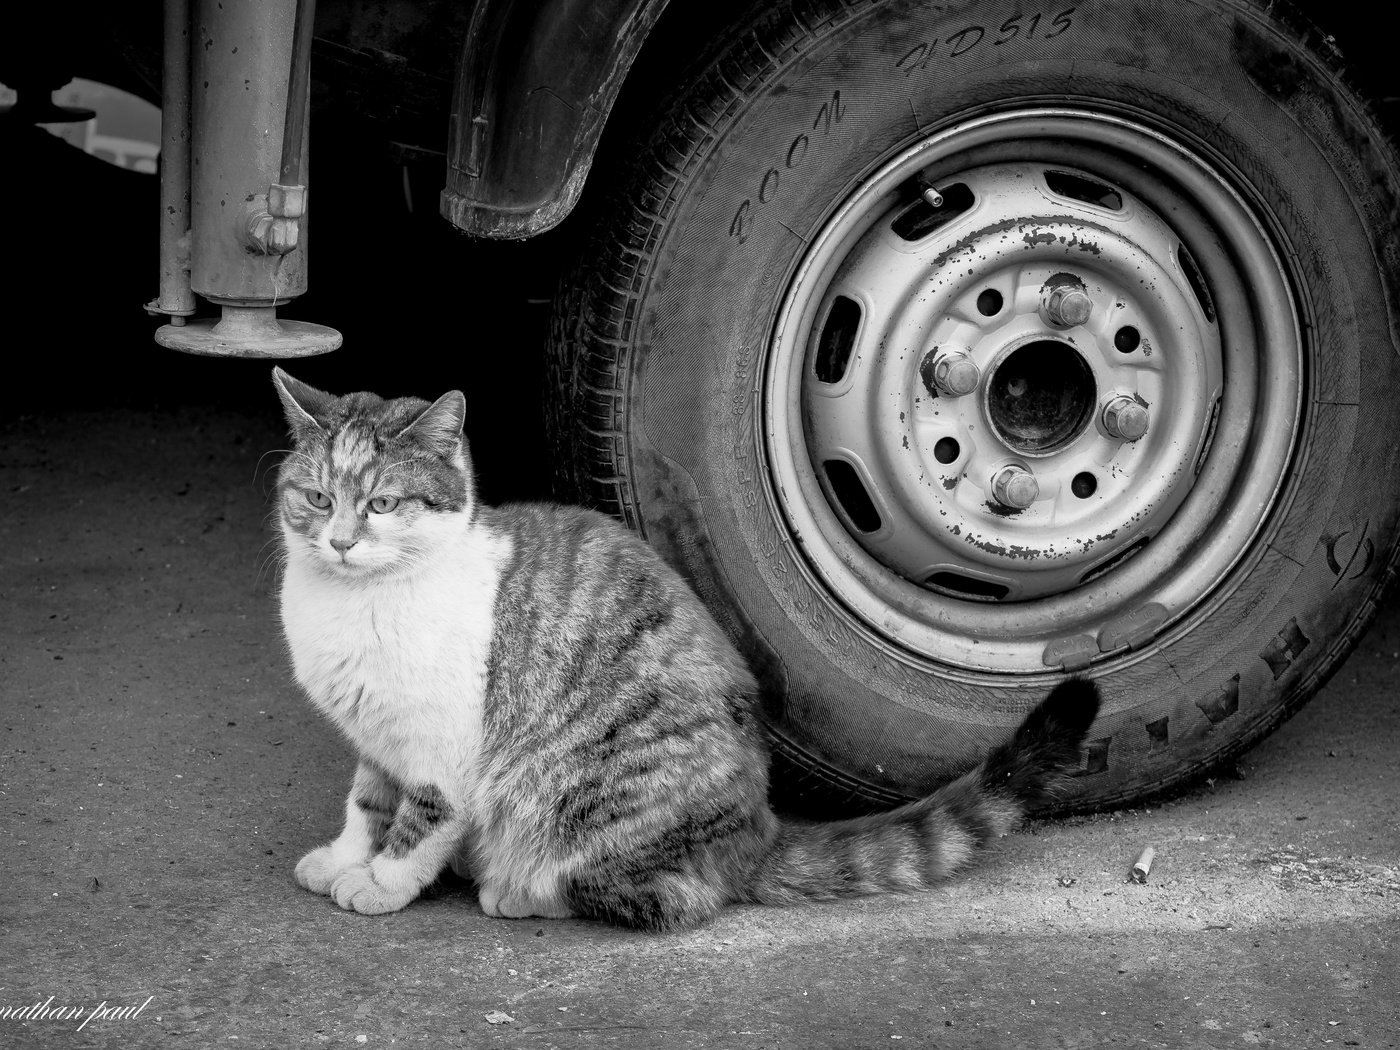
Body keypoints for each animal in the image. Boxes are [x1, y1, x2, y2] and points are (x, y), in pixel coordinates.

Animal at [270, 366, 1103, 929]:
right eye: (317, 498)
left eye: (382, 503)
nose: (340, 541)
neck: (354, 605)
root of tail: (759, 829)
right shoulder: (376, 736)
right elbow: (366, 803)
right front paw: (345, 858)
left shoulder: (440, 747)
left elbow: (420, 821)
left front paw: (381, 882)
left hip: (590, 793)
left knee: (670, 898)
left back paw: (519, 888)